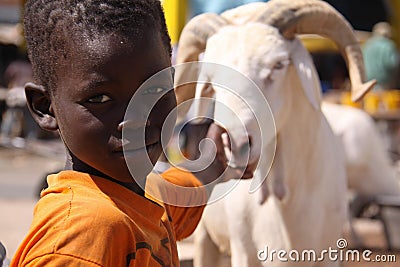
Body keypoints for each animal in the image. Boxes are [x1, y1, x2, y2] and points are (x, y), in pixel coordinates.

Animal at [173, 0, 376, 267]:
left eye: (278, 65)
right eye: (213, 80)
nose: (237, 143)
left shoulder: (329, 252)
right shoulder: (243, 252)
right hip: (207, 237)